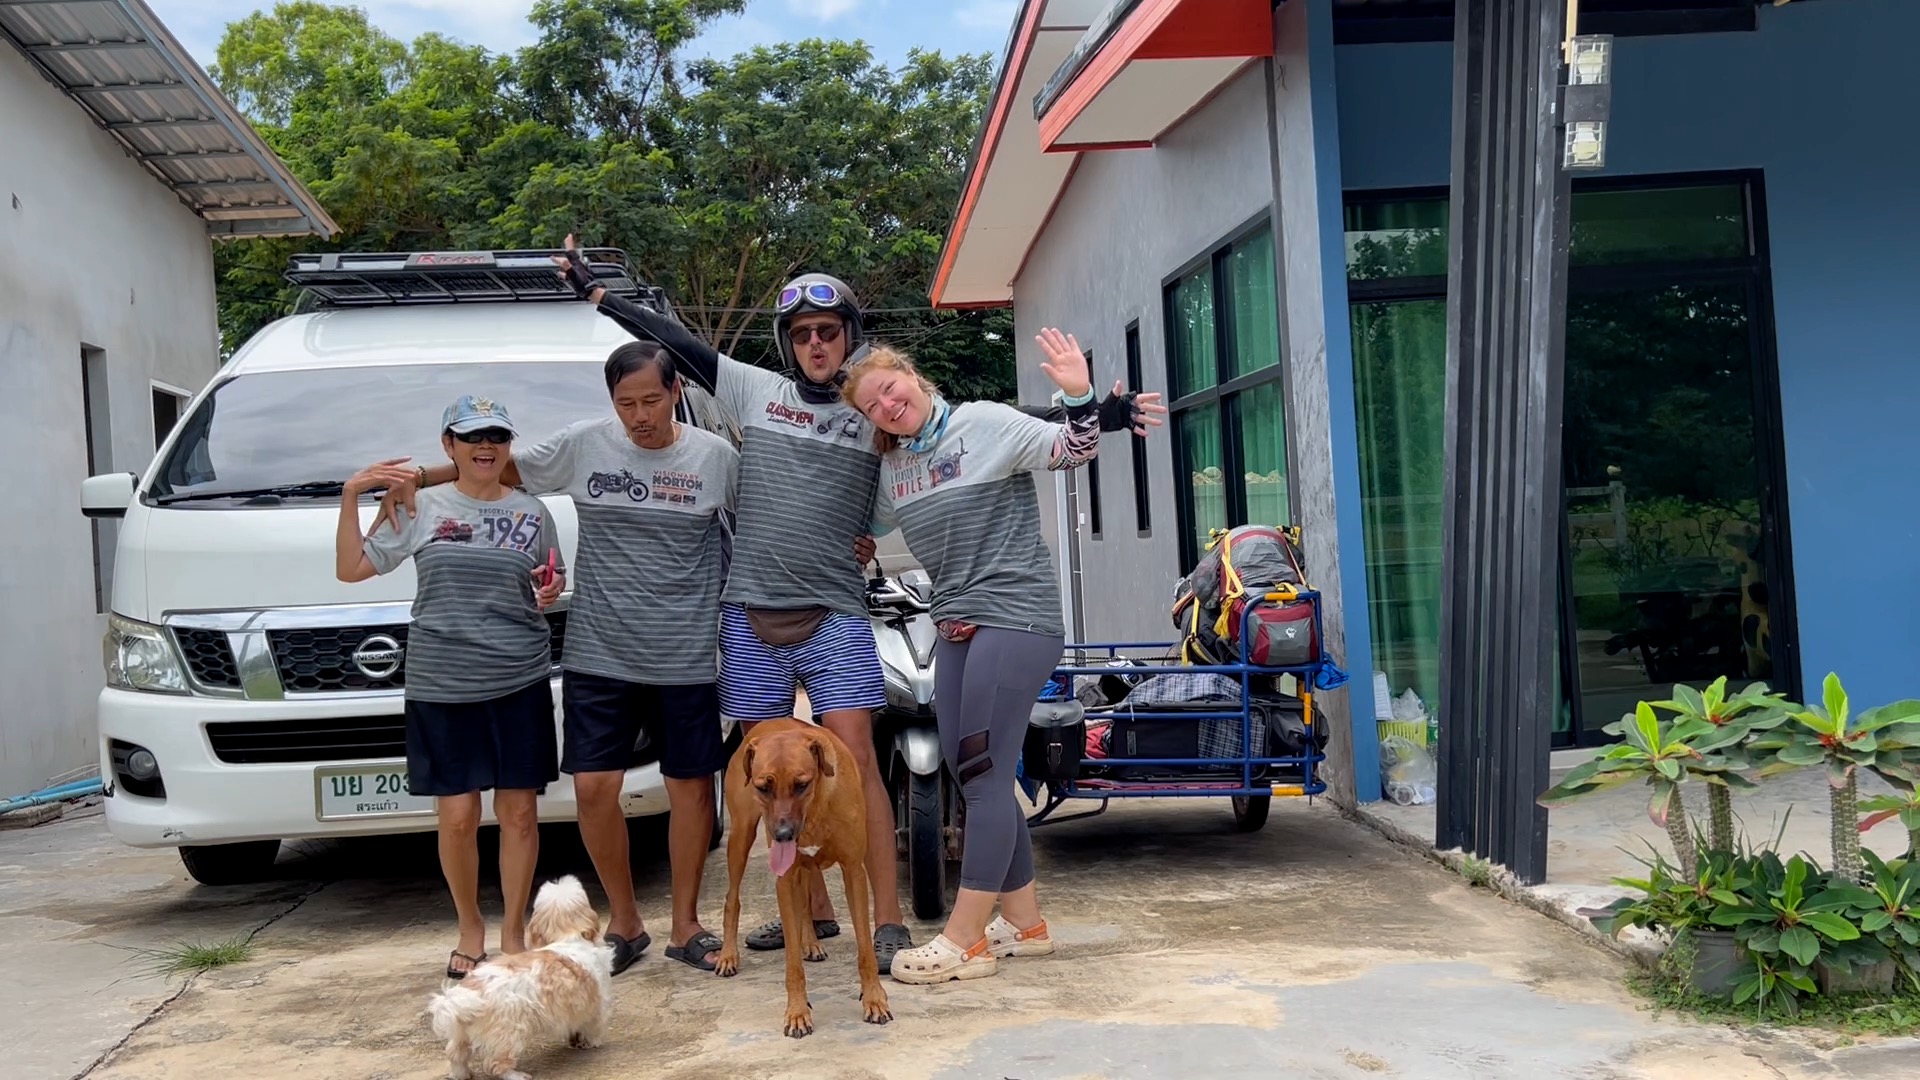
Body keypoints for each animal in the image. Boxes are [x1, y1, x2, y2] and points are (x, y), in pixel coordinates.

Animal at [426, 875, 613, 1080]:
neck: (568, 938)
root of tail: (465, 995)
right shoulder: (596, 1002)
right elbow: (593, 1025)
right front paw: (592, 1042)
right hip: (508, 1034)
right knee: (495, 1064)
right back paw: (515, 1075)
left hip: (461, 1035)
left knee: (456, 1054)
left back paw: (461, 1074)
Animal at [714, 718, 892, 1038]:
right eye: (763, 787)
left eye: (801, 785)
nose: (783, 834)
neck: (816, 808)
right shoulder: (784, 879)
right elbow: (792, 964)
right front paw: (797, 1012)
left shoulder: (853, 871)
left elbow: (865, 951)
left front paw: (874, 999)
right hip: (741, 836)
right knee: (732, 899)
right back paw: (727, 955)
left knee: (807, 902)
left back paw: (810, 941)